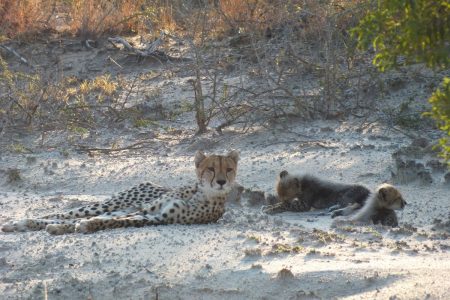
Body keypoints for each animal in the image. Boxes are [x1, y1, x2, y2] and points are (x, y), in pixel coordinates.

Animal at [1, 150, 241, 234]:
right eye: (211, 169)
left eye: (228, 169)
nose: (221, 181)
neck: (200, 193)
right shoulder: (145, 210)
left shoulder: (155, 217)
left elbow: (114, 222)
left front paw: (87, 226)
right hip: (111, 203)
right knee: (62, 214)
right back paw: (21, 222)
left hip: (120, 207)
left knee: (68, 218)